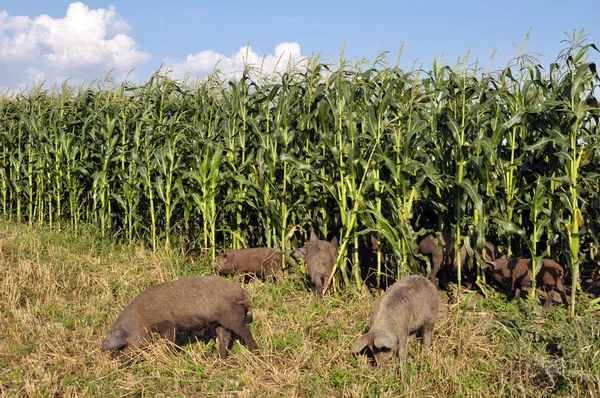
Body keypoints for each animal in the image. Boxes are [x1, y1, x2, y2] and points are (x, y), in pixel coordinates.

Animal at [100, 276, 258, 360]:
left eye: (123, 345)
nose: (120, 362)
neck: (142, 318)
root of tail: (241, 292)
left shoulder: (169, 325)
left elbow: (169, 341)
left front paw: (169, 355)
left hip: (232, 316)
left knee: (245, 331)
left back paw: (255, 352)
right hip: (220, 321)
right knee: (224, 336)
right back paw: (221, 359)